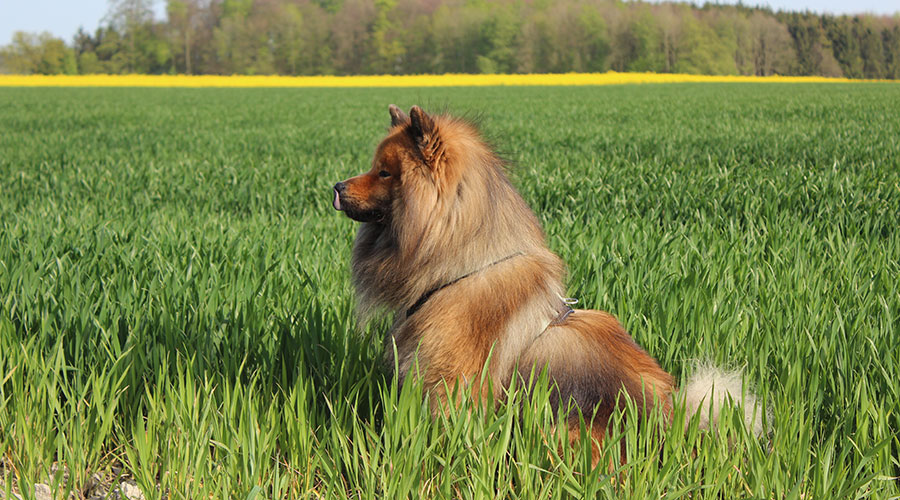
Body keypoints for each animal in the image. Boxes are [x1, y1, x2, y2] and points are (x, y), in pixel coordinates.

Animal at [330, 105, 760, 460]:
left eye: (384, 172)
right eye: (374, 167)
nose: (336, 186)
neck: (462, 269)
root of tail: (680, 431)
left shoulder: (451, 383)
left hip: (562, 429)